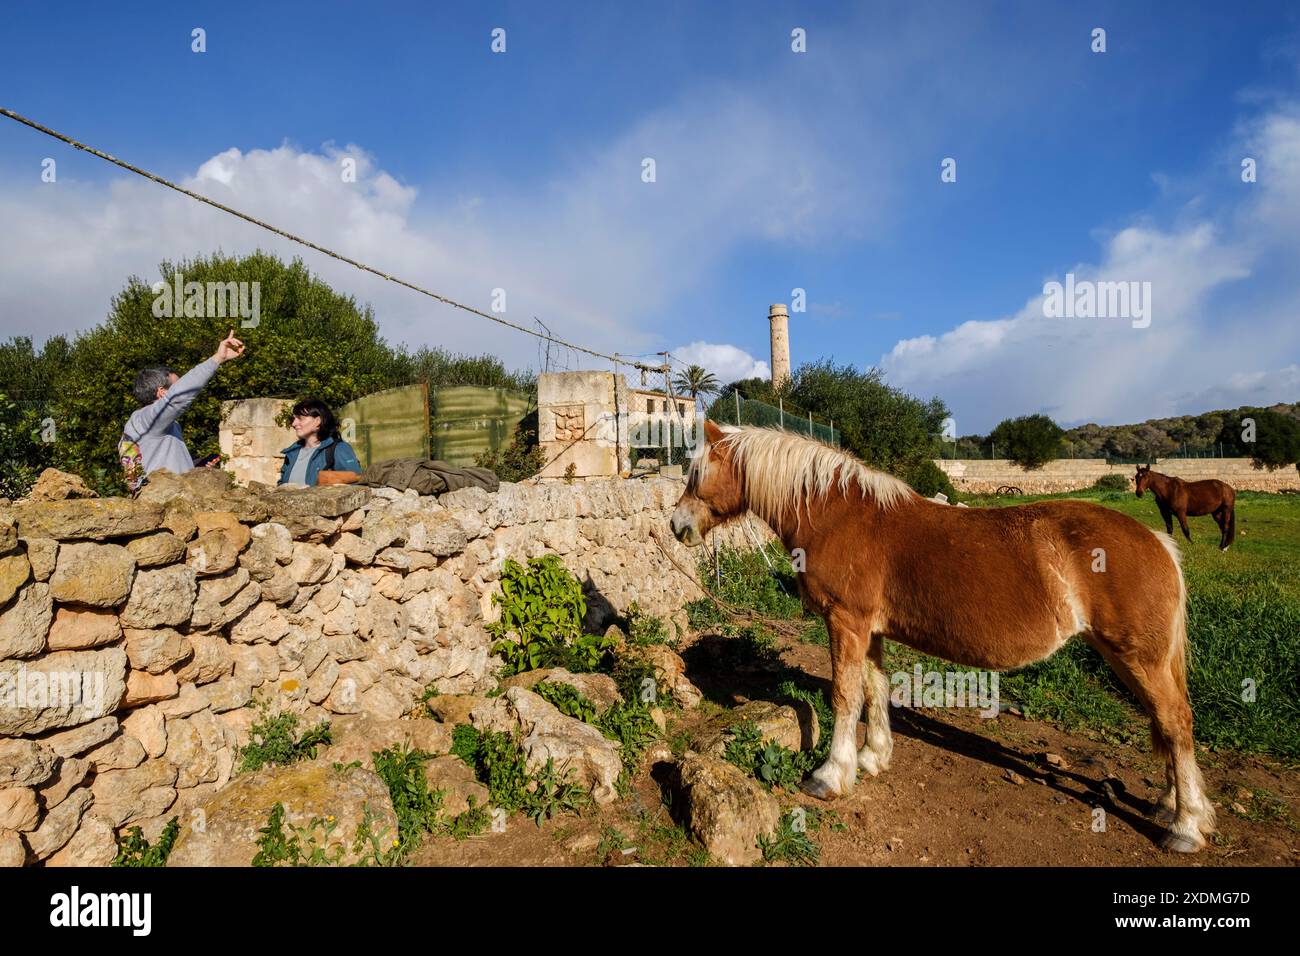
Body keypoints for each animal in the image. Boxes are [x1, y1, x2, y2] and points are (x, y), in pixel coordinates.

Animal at [670, 421, 1216, 858]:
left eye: (696, 474)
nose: (676, 525)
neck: (838, 514)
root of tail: (1158, 541)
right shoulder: (869, 630)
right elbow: (874, 689)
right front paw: (872, 757)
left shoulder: (846, 622)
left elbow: (845, 695)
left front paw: (830, 775)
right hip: (1128, 657)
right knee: (1165, 721)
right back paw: (1169, 805)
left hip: (1137, 655)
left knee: (1175, 720)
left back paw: (1186, 826)